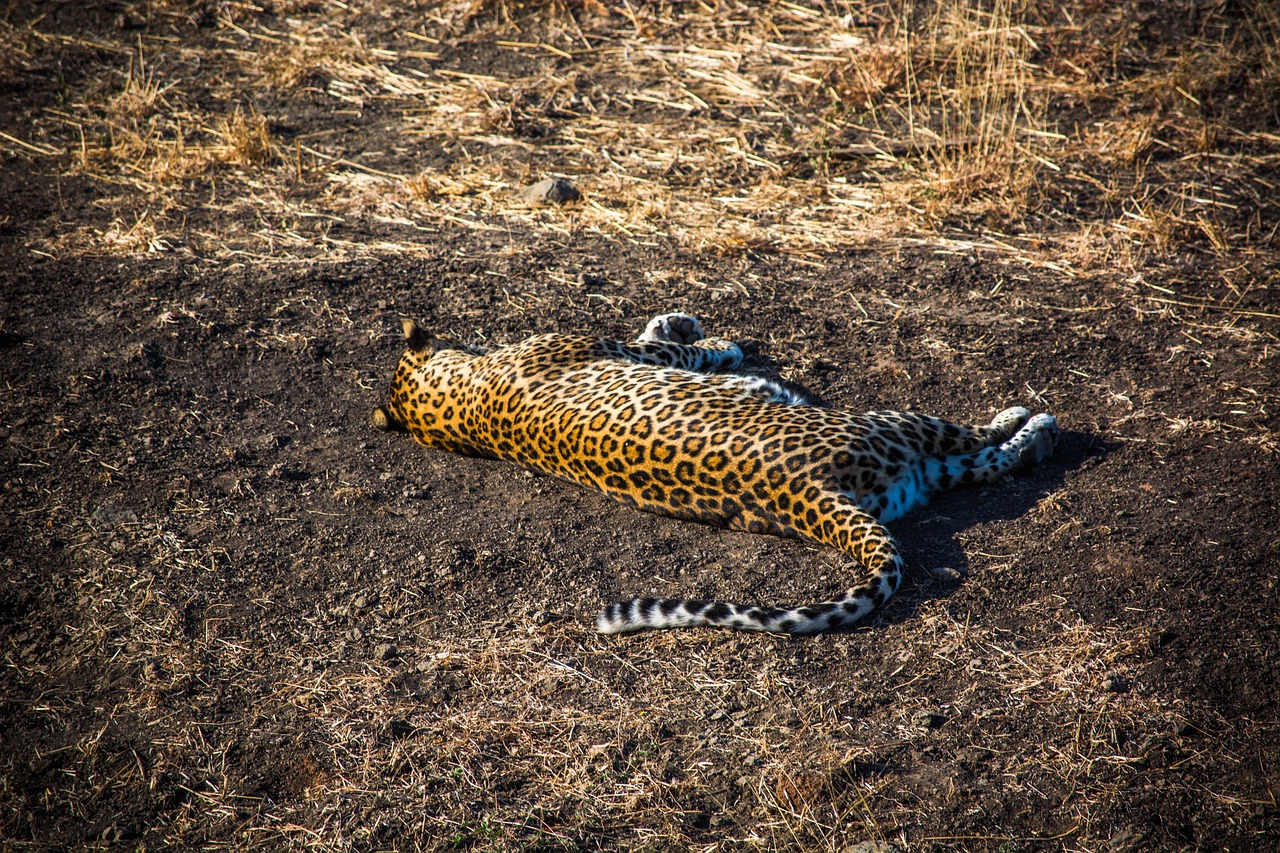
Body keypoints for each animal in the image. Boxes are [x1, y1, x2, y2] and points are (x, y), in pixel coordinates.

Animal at [373, 312, 1059, 630]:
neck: (456, 406)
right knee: (986, 448)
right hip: (894, 422)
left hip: (911, 475)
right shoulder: (615, 349)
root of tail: (811, 494)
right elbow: (677, 349)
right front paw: (709, 339)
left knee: (982, 466)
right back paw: (1034, 422)